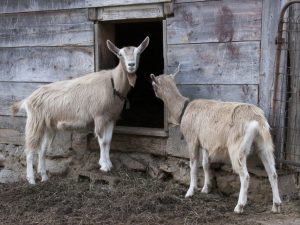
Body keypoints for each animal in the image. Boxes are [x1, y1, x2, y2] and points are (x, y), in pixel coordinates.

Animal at [11, 37, 150, 185]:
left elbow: (108, 140)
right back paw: (31, 179)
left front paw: (109, 163)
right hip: (35, 122)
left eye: (138, 53)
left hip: (49, 125)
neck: (113, 83)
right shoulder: (99, 116)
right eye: (120, 55)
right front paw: (104, 165)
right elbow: (102, 141)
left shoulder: (111, 118)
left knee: (42, 150)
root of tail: (28, 99)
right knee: (30, 150)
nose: (131, 65)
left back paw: (44, 177)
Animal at [151, 66, 282, 214]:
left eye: (153, 84)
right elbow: (206, 164)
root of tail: (257, 119)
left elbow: (193, 165)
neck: (183, 110)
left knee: (245, 176)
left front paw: (190, 192)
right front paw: (205, 188)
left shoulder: (192, 140)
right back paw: (276, 205)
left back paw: (239, 206)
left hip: (237, 147)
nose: (154, 93)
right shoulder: (205, 143)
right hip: (264, 145)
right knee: (273, 173)